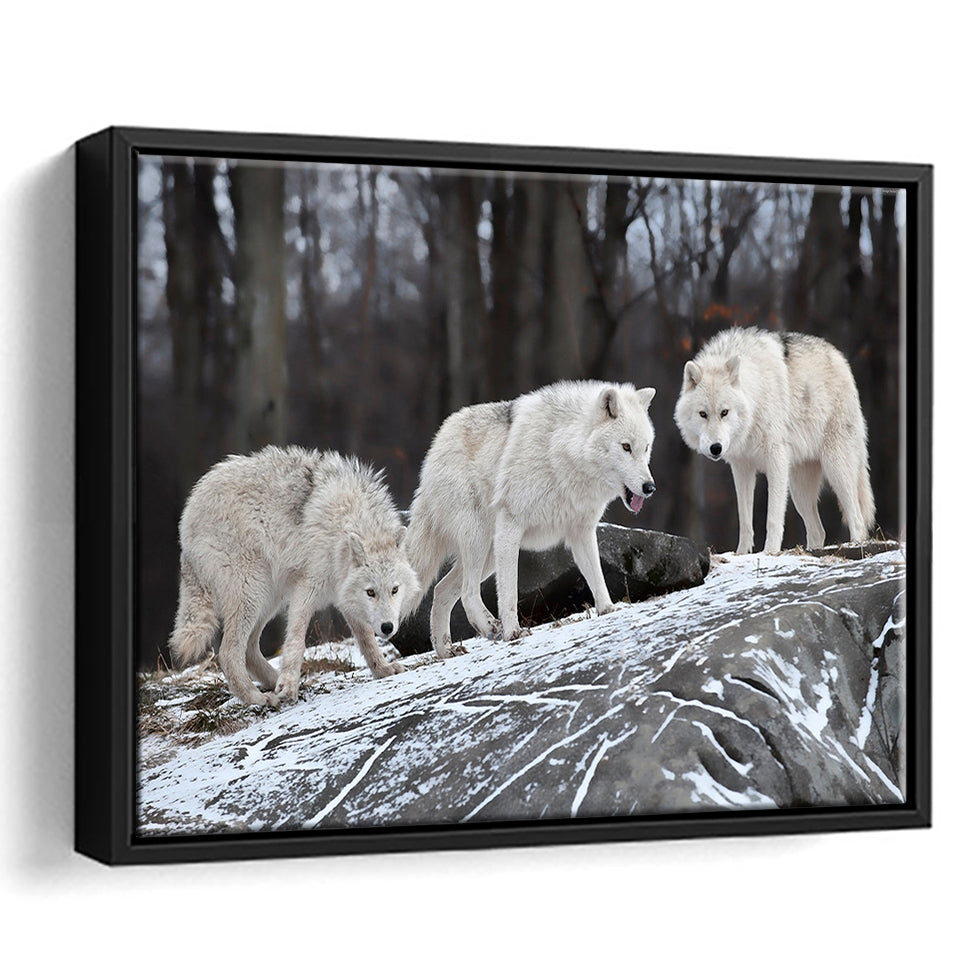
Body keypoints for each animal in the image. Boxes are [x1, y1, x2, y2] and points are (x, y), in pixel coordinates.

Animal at [169, 446, 419, 706]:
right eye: (371, 592)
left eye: (394, 590)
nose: (388, 627)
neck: (343, 524)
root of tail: (188, 514)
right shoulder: (306, 588)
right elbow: (297, 641)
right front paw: (288, 685)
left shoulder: (344, 594)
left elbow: (366, 639)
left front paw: (383, 670)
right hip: (253, 592)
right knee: (228, 653)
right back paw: (258, 698)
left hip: (269, 597)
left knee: (249, 649)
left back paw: (275, 682)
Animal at [404, 380, 657, 657]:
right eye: (626, 447)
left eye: (646, 448)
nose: (650, 487)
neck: (562, 451)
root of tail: (437, 441)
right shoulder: (510, 526)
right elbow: (509, 592)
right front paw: (513, 632)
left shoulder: (581, 531)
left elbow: (597, 577)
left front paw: (608, 610)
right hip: (479, 540)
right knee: (467, 592)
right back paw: (490, 628)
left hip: (488, 554)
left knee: (442, 590)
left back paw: (446, 651)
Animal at [674, 327, 874, 554]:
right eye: (703, 414)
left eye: (724, 412)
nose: (716, 448)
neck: (755, 397)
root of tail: (840, 357)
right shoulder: (741, 467)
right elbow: (745, 520)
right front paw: (742, 553)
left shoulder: (776, 460)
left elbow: (772, 518)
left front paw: (769, 551)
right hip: (798, 488)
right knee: (818, 531)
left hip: (836, 468)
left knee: (857, 519)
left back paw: (855, 545)